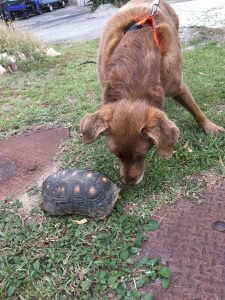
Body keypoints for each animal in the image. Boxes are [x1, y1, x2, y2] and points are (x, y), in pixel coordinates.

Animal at [80, 0, 224, 186]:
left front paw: (210, 127)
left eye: (142, 154)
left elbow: (195, 110)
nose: (128, 183)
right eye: (116, 155)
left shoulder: (178, 87)